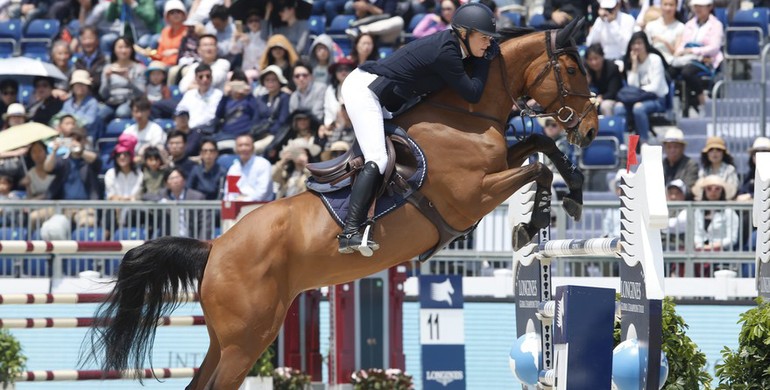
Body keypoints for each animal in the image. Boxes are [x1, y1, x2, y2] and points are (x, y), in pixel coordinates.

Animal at [87, 18, 596, 390]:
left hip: (228, 340)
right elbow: (536, 168)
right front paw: (535, 220)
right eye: (572, 69)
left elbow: (538, 145)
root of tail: (214, 248)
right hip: (246, 341)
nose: (591, 128)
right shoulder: (473, 195)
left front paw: (573, 192)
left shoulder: (494, 171)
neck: (464, 112)